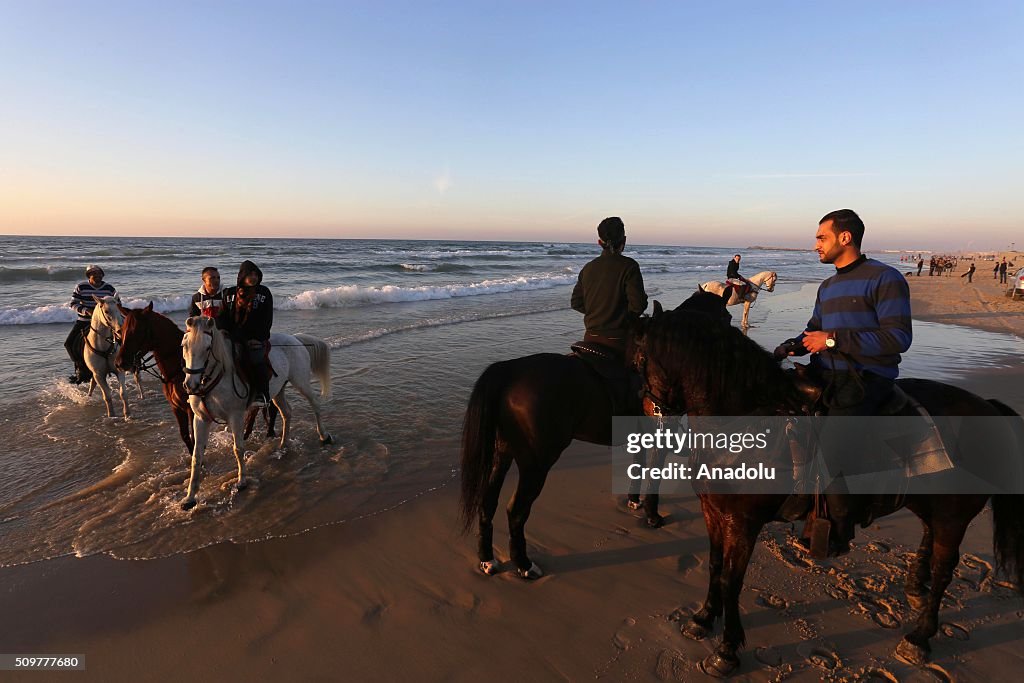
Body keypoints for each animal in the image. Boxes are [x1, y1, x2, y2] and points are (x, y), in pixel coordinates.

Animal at [179, 315, 331, 507]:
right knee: (287, 412)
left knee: (315, 404)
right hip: (277, 391)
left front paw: (242, 481)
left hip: (301, 381)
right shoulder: (200, 419)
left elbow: (238, 448)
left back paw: (324, 436)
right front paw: (190, 497)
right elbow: (197, 456)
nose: (190, 385)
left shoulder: (235, 416)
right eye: (184, 345)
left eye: (207, 348)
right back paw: (283, 444)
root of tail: (295, 338)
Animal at [630, 296, 1024, 671]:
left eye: (638, 359)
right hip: (929, 503)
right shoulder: (713, 512)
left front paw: (726, 649)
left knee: (944, 570)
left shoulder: (744, 523)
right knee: (929, 538)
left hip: (953, 516)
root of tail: (988, 406)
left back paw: (919, 636)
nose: (649, 412)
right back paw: (915, 589)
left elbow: (731, 580)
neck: (746, 422)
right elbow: (714, 567)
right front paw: (702, 619)